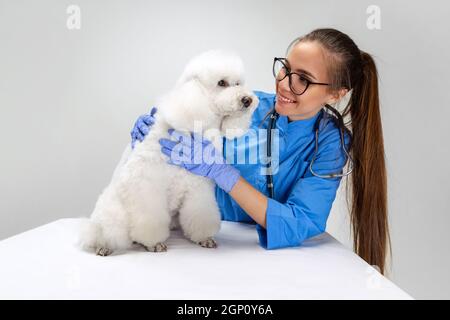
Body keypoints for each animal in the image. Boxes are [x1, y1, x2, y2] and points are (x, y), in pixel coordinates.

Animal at [79, 49, 258, 255]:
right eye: (221, 83)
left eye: (238, 83)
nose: (248, 100)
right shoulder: (146, 186)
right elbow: (150, 219)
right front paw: (153, 243)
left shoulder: (199, 187)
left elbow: (200, 214)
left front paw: (204, 238)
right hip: (113, 212)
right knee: (104, 232)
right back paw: (104, 245)